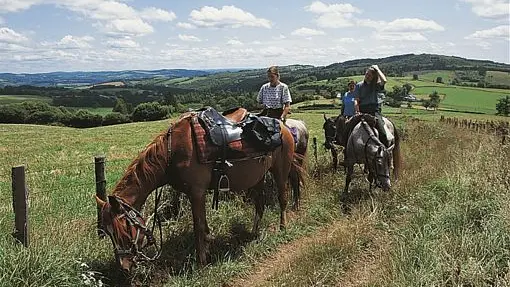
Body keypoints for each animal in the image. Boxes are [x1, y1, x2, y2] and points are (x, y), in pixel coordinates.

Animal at [94, 108, 302, 272]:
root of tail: (284, 127)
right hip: (259, 177)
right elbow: (204, 225)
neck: (172, 152)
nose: (124, 267)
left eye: (123, 228)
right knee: (259, 204)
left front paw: (201, 261)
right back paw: (253, 232)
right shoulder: (194, 194)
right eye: (107, 232)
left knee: (282, 198)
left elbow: (198, 227)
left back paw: (283, 227)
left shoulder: (197, 193)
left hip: (280, 171)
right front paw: (208, 248)